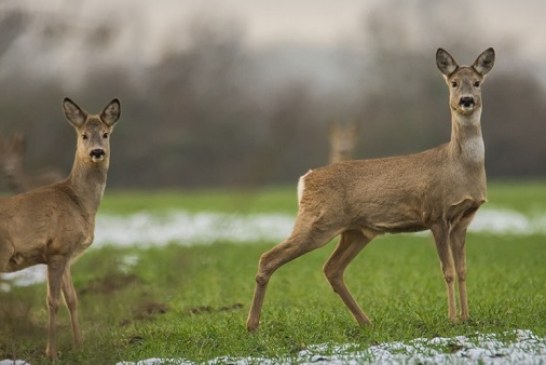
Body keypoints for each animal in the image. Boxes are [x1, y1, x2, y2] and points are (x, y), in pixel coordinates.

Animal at [0, 97, 120, 358]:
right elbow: (52, 302)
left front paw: (79, 347)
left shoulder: (65, 254)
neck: (79, 202)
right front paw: (52, 353)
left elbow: (72, 299)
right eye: (84, 135)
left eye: (105, 134)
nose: (97, 152)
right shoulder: (57, 250)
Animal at [246, 47, 492, 330]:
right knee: (269, 258)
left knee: (332, 269)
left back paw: (366, 321)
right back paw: (252, 325)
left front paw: (466, 317)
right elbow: (448, 271)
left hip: (356, 231)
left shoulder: (464, 218)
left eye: (477, 82)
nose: (466, 100)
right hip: (317, 221)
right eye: (453, 83)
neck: (459, 166)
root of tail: (304, 180)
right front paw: (451, 319)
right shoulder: (435, 215)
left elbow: (463, 270)